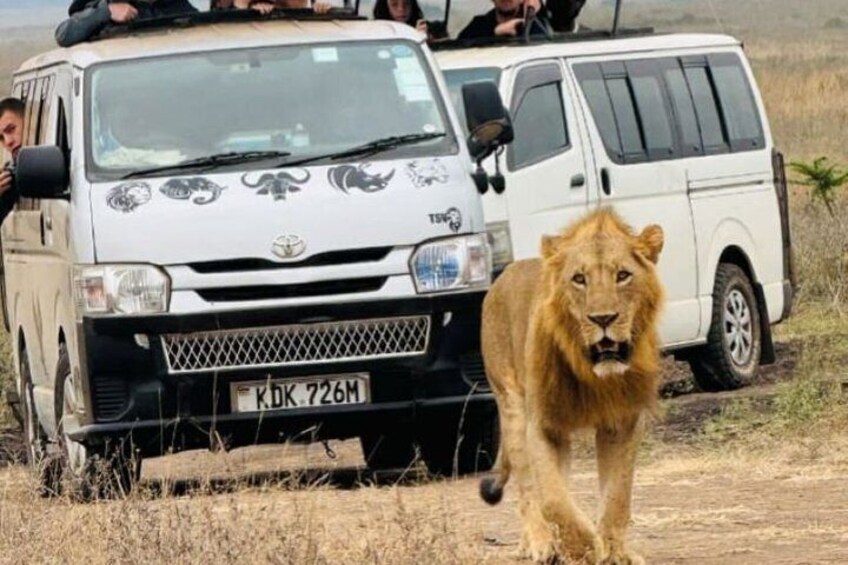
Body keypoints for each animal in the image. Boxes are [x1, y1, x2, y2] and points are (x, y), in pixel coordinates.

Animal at [479, 208, 664, 564]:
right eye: (579, 279)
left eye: (623, 275)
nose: (603, 319)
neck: (592, 375)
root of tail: (505, 271)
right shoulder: (542, 423)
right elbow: (552, 500)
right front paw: (585, 547)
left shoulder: (624, 422)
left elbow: (618, 496)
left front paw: (614, 552)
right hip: (511, 405)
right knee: (528, 488)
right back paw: (539, 543)